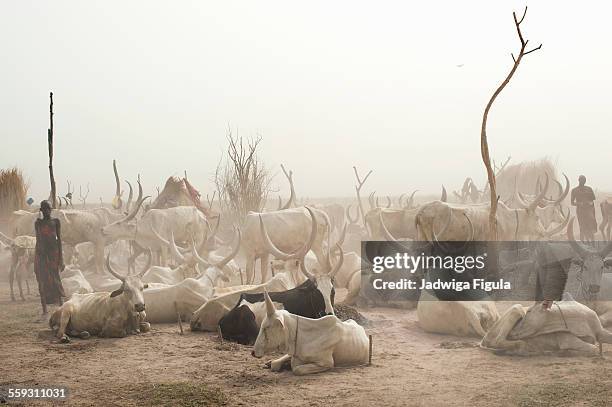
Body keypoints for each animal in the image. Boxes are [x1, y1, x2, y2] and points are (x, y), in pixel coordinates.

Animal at [480, 294, 612, 356]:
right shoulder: (566, 340)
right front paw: (566, 353)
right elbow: (594, 349)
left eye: (529, 311)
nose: (513, 332)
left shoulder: (600, 331)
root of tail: (483, 339)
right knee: (498, 341)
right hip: (516, 309)